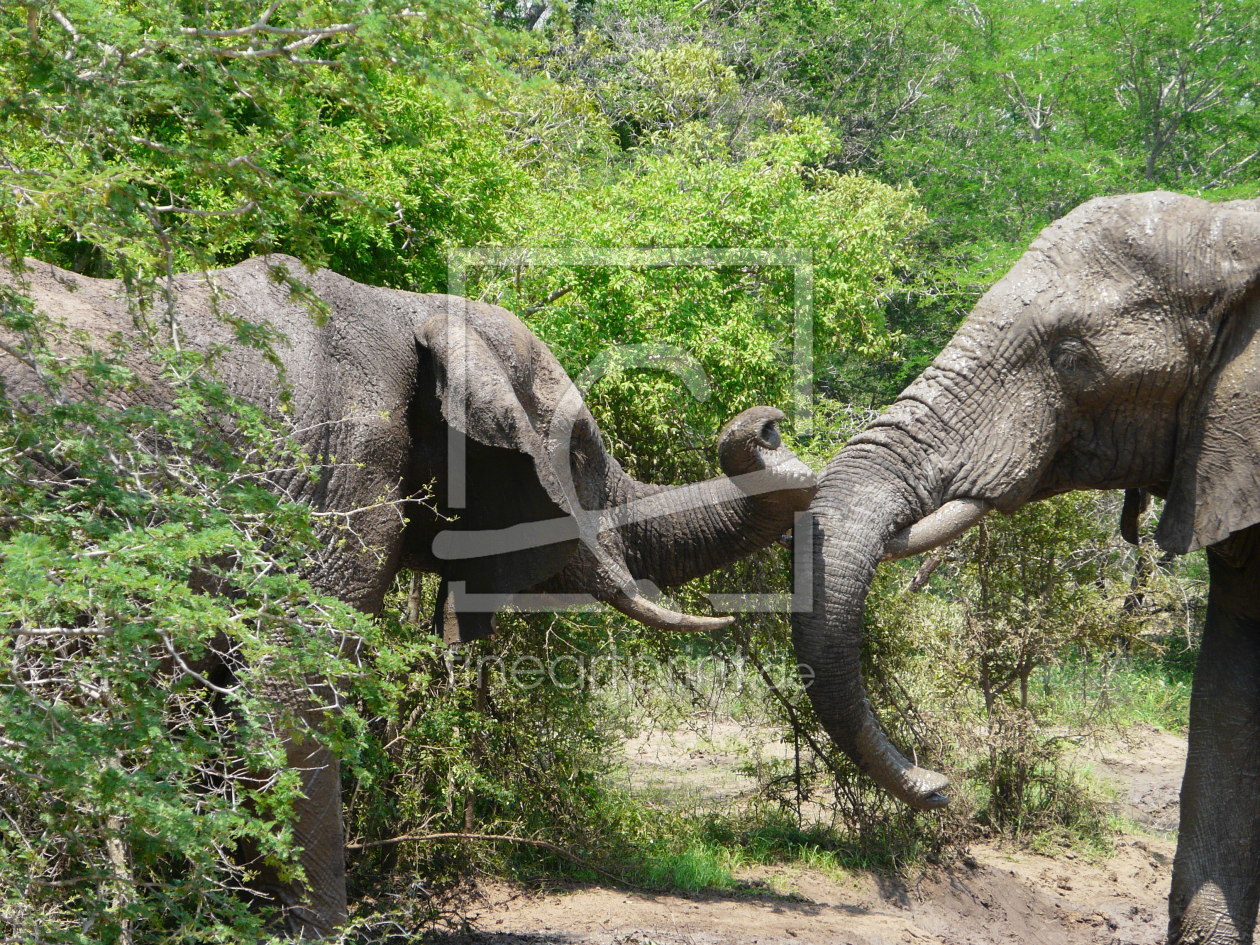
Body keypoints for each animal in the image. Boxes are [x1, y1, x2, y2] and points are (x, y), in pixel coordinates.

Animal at [0, 253, 816, 942]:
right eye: (580, 452)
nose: (769, 424)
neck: (412, 311)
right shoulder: (337, 474)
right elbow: (287, 694)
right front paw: (318, 930)